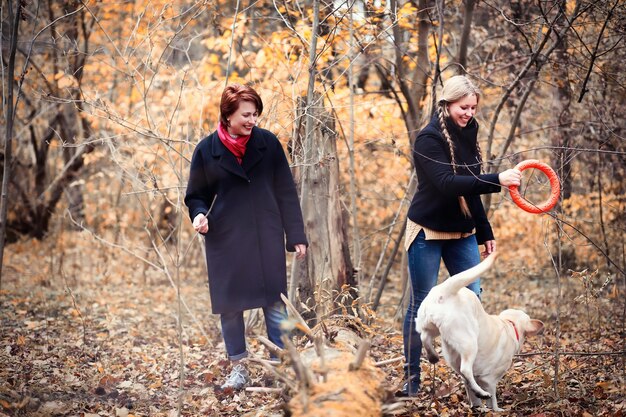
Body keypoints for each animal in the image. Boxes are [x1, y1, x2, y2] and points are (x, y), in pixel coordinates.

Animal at [414, 250, 540, 410]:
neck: (509, 324)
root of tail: (446, 291)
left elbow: (470, 390)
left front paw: (477, 406)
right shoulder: (491, 379)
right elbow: (492, 398)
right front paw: (495, 409)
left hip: (431, 326)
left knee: (424, 337)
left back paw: (433, 356)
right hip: (469, 343)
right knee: (466, 370)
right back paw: (482, 393)